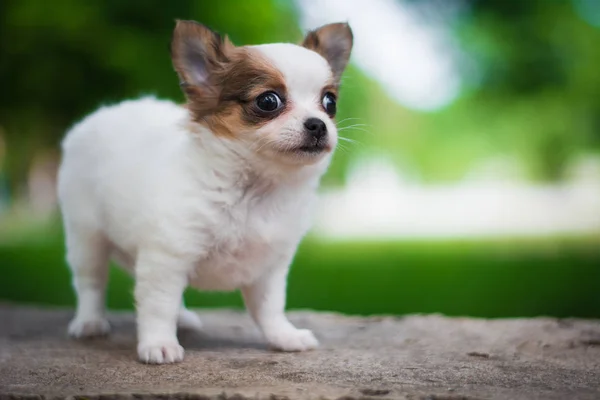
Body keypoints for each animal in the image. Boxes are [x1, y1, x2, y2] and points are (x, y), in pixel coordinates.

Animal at [56, 20, 352, 364]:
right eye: (268, 101)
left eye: (330, 103)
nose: (318, 124)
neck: (255, 190)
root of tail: (102, 114)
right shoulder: (168, 256)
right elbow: (158, 305)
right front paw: (158, 343)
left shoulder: (268, 268)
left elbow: (269, 308)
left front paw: (283, 336)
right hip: (86, 235)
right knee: (91, 282)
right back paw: (89, 322)